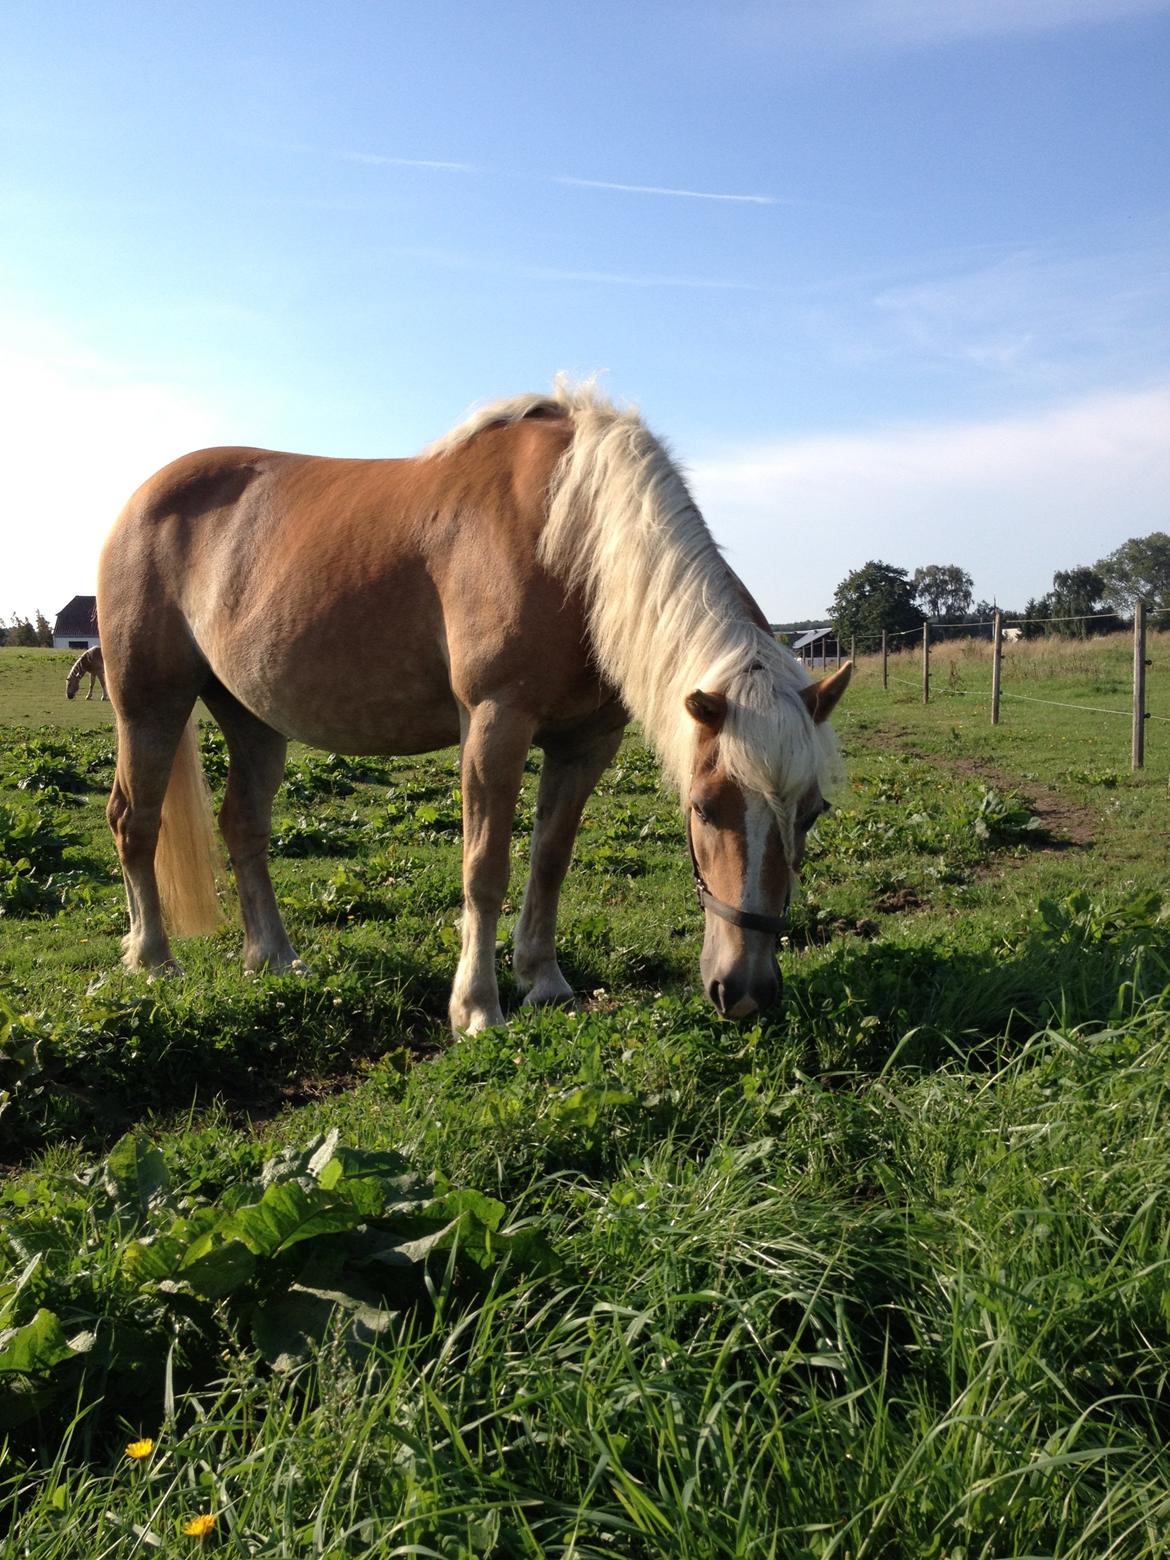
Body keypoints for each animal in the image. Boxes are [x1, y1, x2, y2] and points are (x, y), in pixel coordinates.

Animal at [96, 383, 854, 1029]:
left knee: (243, 827)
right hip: (150, 705)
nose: (746, 990)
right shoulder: (495, 721)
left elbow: (550, 861)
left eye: (813, 810)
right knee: (135, 821)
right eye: (702, 807)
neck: (568, 533)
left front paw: (544, 979)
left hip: (253, 721)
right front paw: (478, 1007)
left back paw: (275, 958)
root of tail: (139, 501)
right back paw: (152, 959)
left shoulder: (587, 742)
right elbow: (484, 868)